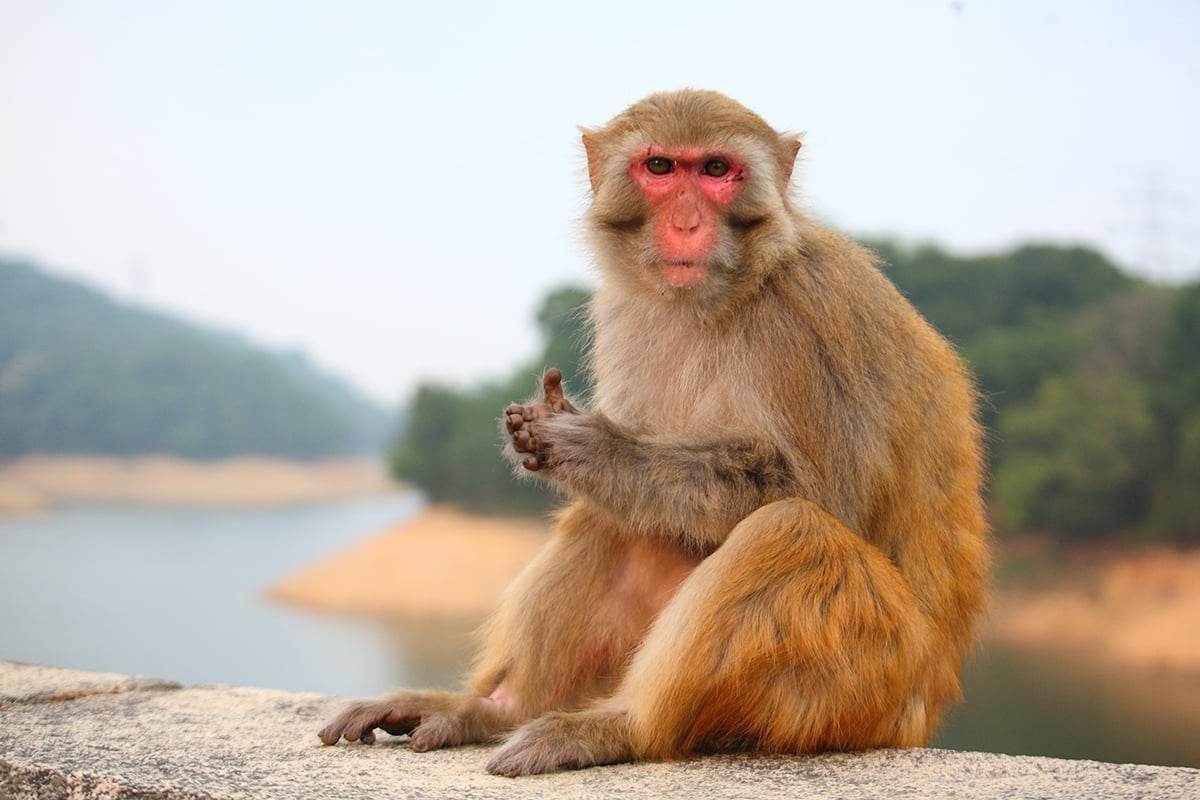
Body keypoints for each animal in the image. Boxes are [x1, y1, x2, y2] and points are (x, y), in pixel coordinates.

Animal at [318, 89, 989, 777]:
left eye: (717, 171)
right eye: (661, 167)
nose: (688, 223)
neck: (722, 294)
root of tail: (926, 702)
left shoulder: (809, 316)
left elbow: (826, 499)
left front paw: (593, 447)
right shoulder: (622, 308)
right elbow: (651, 508)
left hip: (867, 685)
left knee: (791, 530)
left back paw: (624, 727)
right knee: (615, 519)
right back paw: (494, 710)